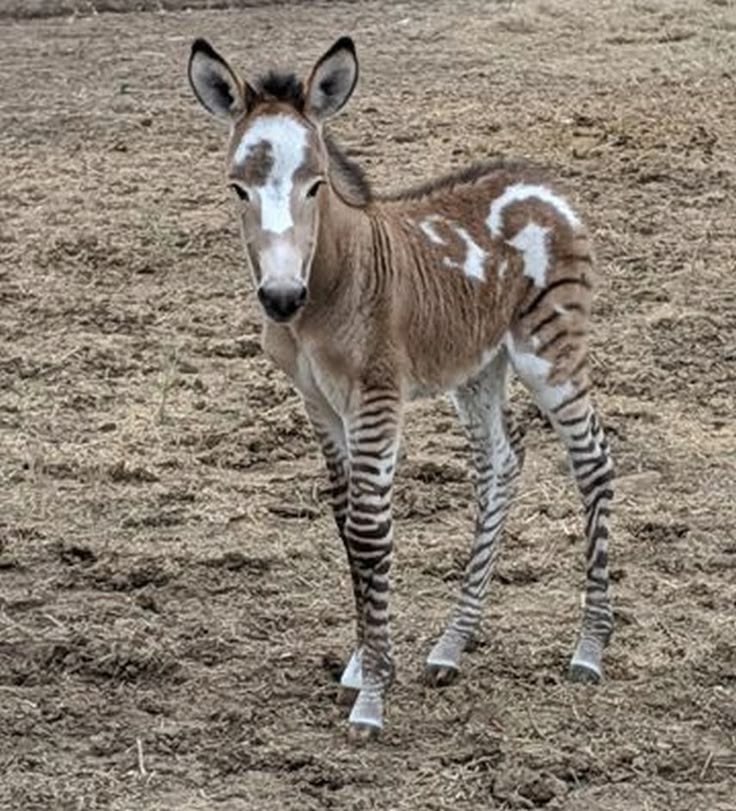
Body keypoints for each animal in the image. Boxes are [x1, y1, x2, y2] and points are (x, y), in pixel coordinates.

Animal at [188, 38, 616, 744]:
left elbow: (369, 529)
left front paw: (372, 696)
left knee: (594, 462)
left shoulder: (376, 396)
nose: (280, 298)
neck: (328, 288)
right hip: (478, 367)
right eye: (236, 188)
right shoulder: (319, 403)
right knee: (501, 462)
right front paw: (363, 663)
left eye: (315, 184)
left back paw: (589, 648)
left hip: (549, 351)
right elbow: (345, 524)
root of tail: (546, 186)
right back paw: (451, 645)